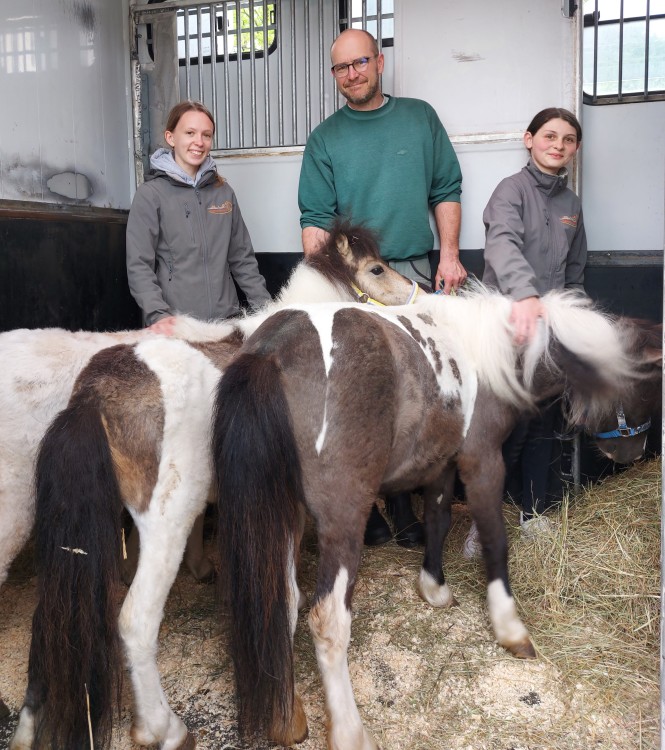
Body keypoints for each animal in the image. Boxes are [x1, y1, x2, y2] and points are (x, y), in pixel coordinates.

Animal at [6, 226, 420, 750]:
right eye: (376, 269)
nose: (418, 294)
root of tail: (91, 396)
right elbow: (282, 595)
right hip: (159, 523)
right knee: (135, 621)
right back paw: (161, 728)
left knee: (51, 620)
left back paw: (30, 728)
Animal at [209, 288, 644, 750]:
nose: (632, 452)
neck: (489, 354)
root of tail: (273, 351)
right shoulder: (482, 461)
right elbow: (495, 539)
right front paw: (509, 627)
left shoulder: (441, 463)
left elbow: (438, 519)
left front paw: (434, 587)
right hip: (342, 520)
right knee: (327, 620)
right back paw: (348, 730)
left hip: (285, 514)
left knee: (284, 600)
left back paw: (286, 716)